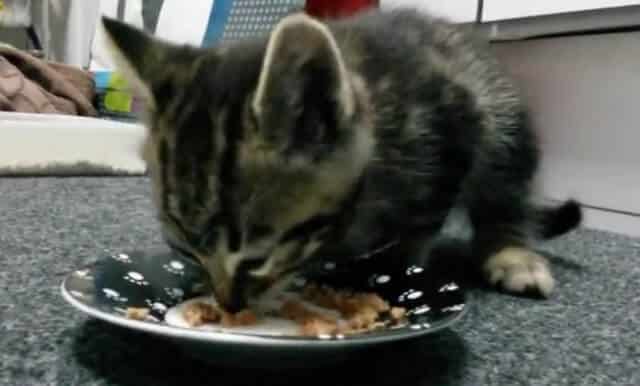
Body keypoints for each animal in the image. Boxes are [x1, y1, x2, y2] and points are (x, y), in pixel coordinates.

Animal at [102, 7, 584, 312]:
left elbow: (418, 230)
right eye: (184, 250)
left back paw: (510, 252)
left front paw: (390, 275)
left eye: (257, 259)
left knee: (504, 190)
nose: (229, 306)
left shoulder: (454, 124)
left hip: (500, 113)